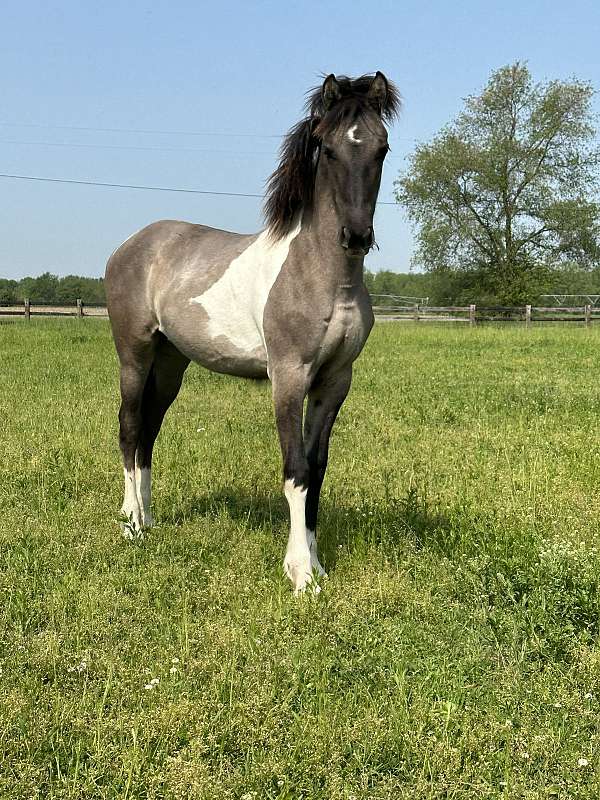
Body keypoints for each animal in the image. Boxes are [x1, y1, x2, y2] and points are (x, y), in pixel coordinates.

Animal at [105, 72, 400, 592]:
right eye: (327, 149)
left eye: (381, 148)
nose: (356, 237)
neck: (322, 277)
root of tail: (131, 245)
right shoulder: (289, 377)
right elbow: (296, 470)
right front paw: (300, 574)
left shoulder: (334, 382)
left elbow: (317, 469)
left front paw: (318, 564)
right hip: (134, 355)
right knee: (129, 427)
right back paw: (131, 523)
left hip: (170, 363)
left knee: (149, 432)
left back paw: (150, 521)